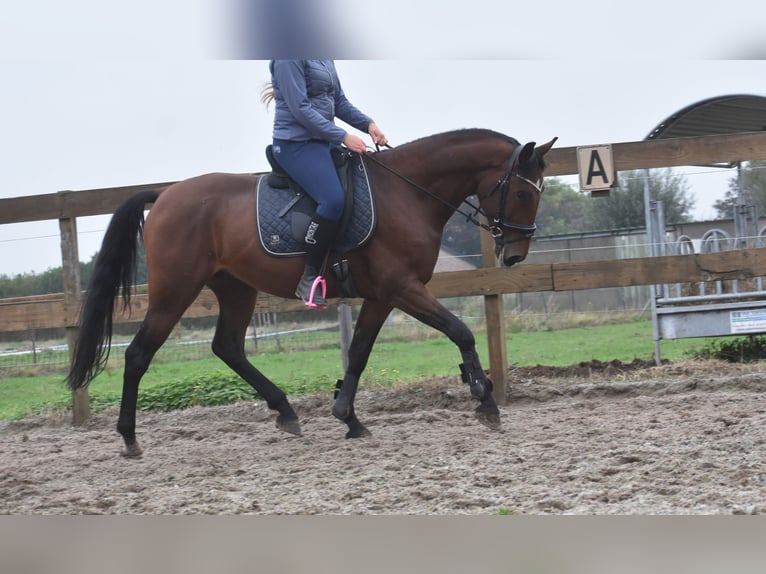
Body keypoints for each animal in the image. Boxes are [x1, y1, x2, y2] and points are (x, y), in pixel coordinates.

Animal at [66, 129, 557, 457]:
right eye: (520, 193)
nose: (515, 255)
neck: (406, 194)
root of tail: (165, 196)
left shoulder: (382, 296)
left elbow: (358, 354)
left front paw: (349, 418)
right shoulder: (402, 288)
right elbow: (460, 332)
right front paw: (485, 398)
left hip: (236, 289)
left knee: (228, 347)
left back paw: (285, 411)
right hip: (175, 292)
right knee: (138, 355)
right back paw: (129, 437)